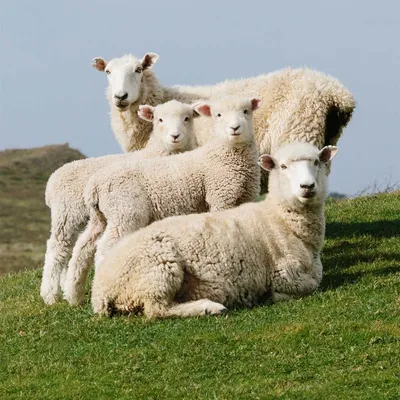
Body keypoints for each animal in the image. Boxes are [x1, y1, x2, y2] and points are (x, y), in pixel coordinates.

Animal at [39, 99, 198, 304]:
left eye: (187, 118)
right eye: (159, 119)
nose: (175, 136)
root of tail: (52, 181)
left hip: (92, 217)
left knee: (75, 248)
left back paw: (69, 291)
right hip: (67, 213)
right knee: (57, 248)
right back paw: (50, 294)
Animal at [65, 95, 262, 304]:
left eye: (246, 111)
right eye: (218, 115)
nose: (235, 128)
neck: (226, 155)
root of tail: (94, 185)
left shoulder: (246, 197)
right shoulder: (220, 197)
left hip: (101, 217)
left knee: (83, 247)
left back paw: (73, 295)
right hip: (125, 212)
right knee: (104, 247)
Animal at [90, 142, 338, 318]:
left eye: (317, 162)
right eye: (283, 166)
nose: (307, 187)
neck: (280, 219)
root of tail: (99, 290)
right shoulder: (285, 275)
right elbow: (310, 285)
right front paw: (271, 295)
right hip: (158, 269)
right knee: (156, 309)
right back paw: (209, 307)